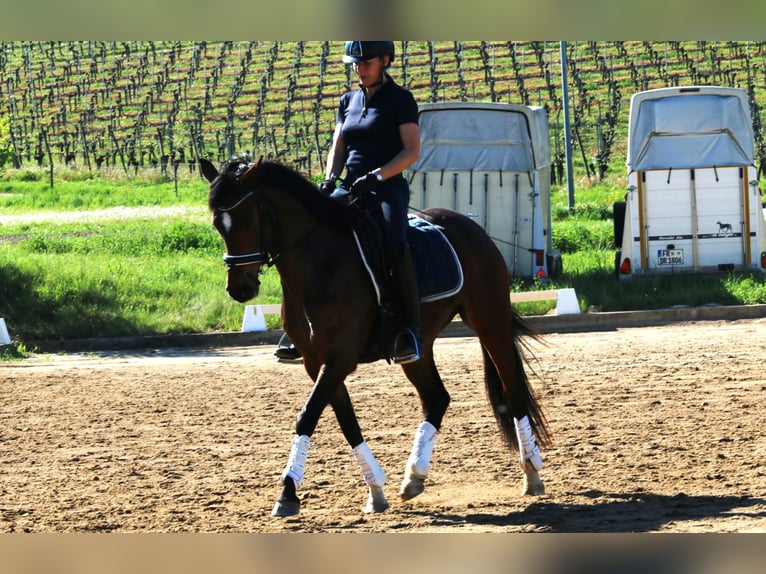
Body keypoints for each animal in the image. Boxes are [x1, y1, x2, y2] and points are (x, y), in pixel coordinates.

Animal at [201, 156, 551, 517]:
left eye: (246, 219)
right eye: (217, 224)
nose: (240, 289)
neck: (319, 265)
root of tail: (471, 227)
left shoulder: (339, 358)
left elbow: (307, 416)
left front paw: (287, 493)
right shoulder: (317, 362)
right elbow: (346, 423)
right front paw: (375, 489)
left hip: (490, 322)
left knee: (513, 391)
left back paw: (531, 472)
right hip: (419, 347)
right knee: (437, 398)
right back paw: (414, 476)